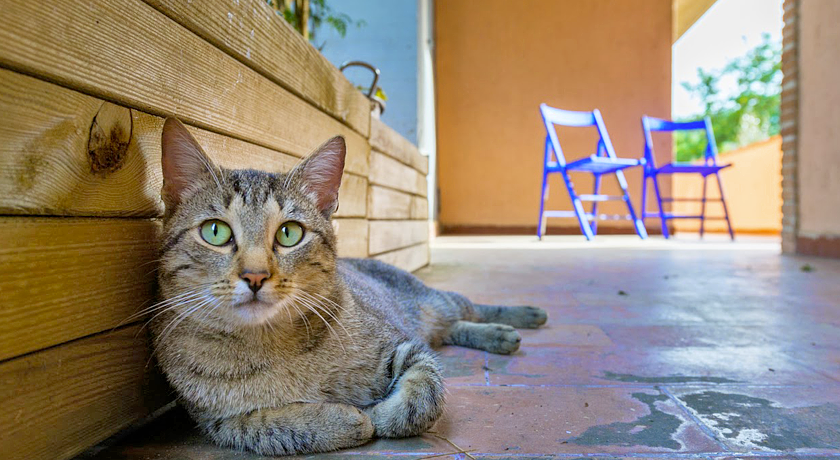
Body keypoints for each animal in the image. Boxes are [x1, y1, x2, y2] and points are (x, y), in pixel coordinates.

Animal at [150, 118, 544, 456]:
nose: (255, 276)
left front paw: (381, 414)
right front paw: (345, 419)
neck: (268, 343)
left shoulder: (402, 345)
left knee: (466, 309)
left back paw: (518, 319)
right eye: (215, 231)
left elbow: (423, 396)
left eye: (289, 233)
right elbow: (274, 428)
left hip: (433, 303)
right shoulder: (219, 422)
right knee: (450, 330)